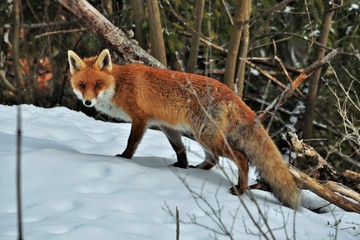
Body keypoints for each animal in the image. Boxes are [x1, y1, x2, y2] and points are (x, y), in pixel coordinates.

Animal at [67, 49, 300, 210]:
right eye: (82, 85)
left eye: (98, 84)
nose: (87, 102)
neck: (120, 84)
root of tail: (232, 94)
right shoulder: (164, 125)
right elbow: (179, 148)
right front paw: (182, 166)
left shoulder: (140, 118)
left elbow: (131, 143)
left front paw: (124, 159)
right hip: (204, 135)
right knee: (213, 159)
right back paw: (199, 170)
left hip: (207, 136)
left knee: (241, 157)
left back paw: (240, 189)